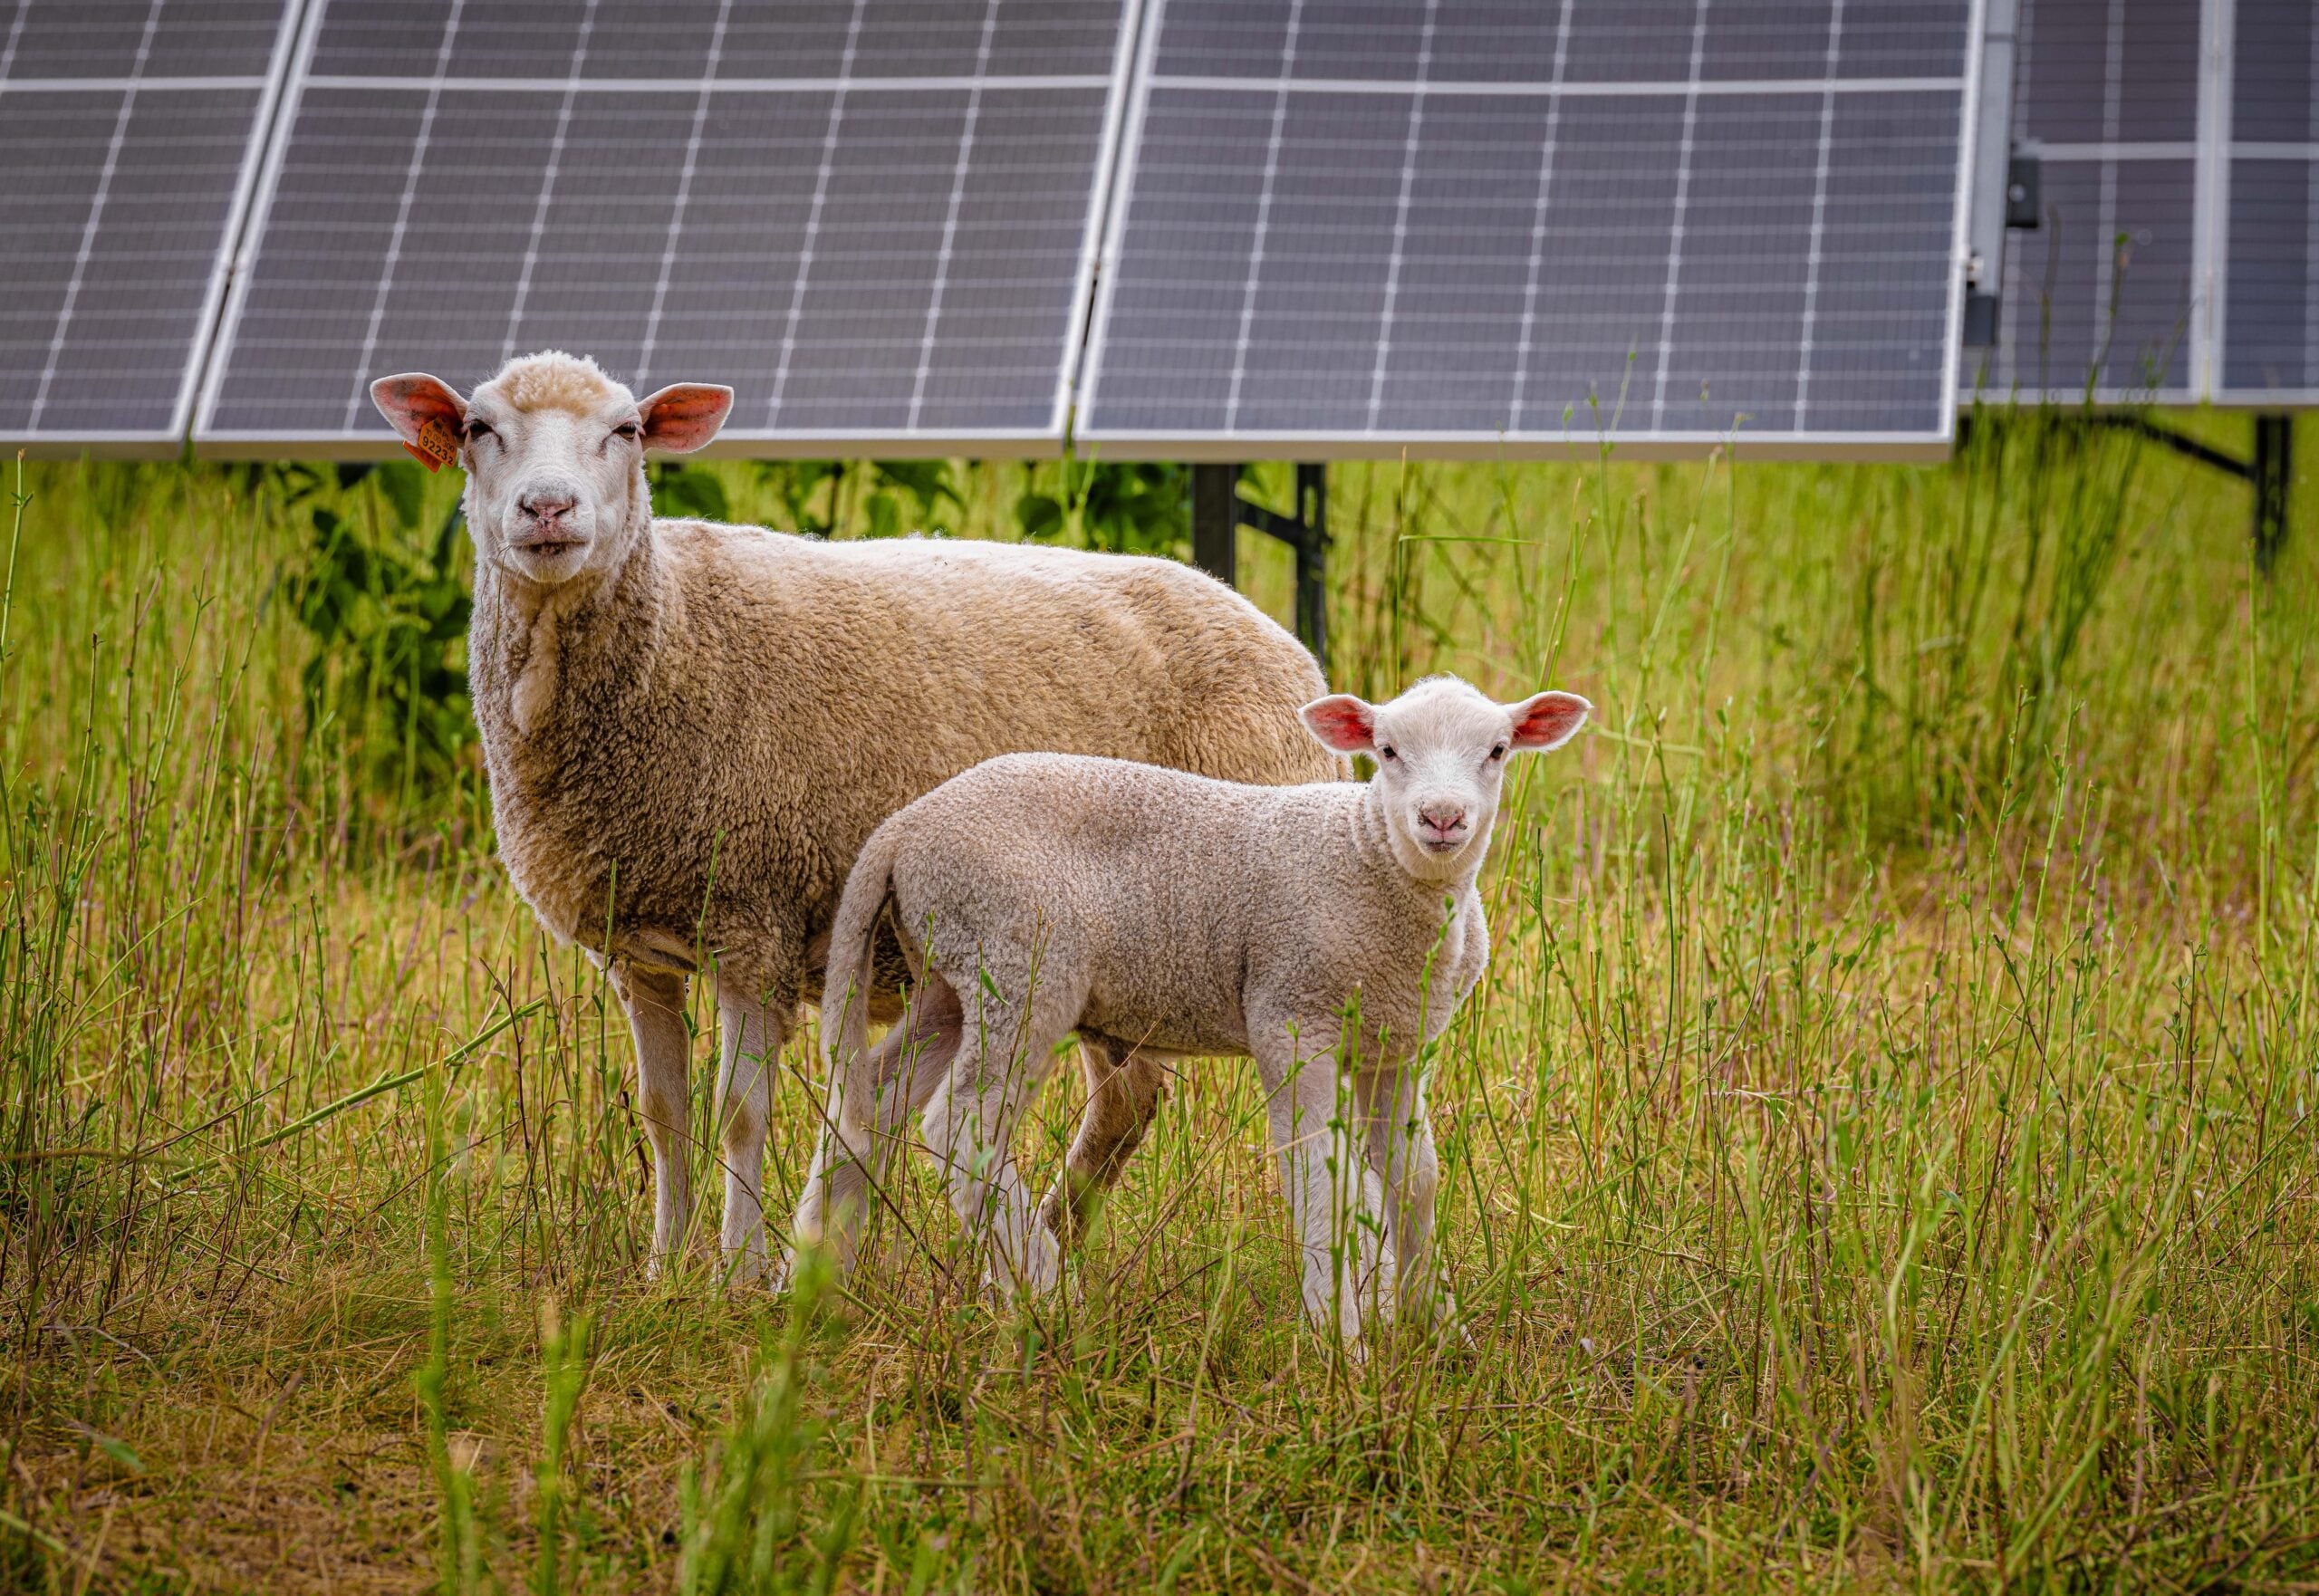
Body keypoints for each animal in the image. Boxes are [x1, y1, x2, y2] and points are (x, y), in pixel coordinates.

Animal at [368, 351, 1341, 1282]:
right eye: (478, 429)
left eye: (627, 431)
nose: (547, 509)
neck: (666, 635)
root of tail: (1266, 628)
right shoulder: (635, 948)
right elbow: (663, 1114)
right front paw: (662, 1266)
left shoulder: (751, 922)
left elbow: (738, 1114)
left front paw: (735, 1273)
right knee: (1126, 1101)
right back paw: (1058, 1237)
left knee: (1133, 1100)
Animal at [792, 674, 1590, 1341]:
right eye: (1387, 751)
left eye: (1497, 751)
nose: (1442, 818)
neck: (1370, 858)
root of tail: (904, 828)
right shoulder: (1289, 1013)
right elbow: (1322, 1174)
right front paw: (1341, 1341)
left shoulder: (1395, 1045)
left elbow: (1412, 1178)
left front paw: (1439, 1333)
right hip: (1018, 963)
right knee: (961, 1124)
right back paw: (1050, 1292)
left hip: (953, 975)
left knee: (868, 1103)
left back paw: (815, 1286)